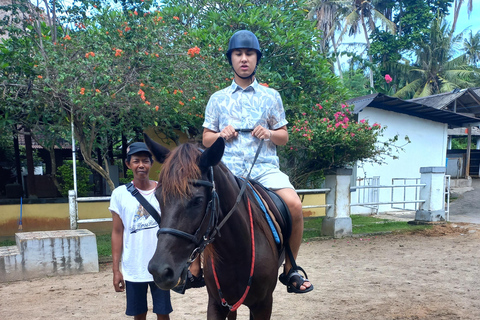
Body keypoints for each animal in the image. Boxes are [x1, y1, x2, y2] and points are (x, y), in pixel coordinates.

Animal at [144, 134, 284, 318]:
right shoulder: (216, 303)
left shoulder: (264, 305)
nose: (159, 271)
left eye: (197, 200)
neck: (236, 255)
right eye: (158, 197)